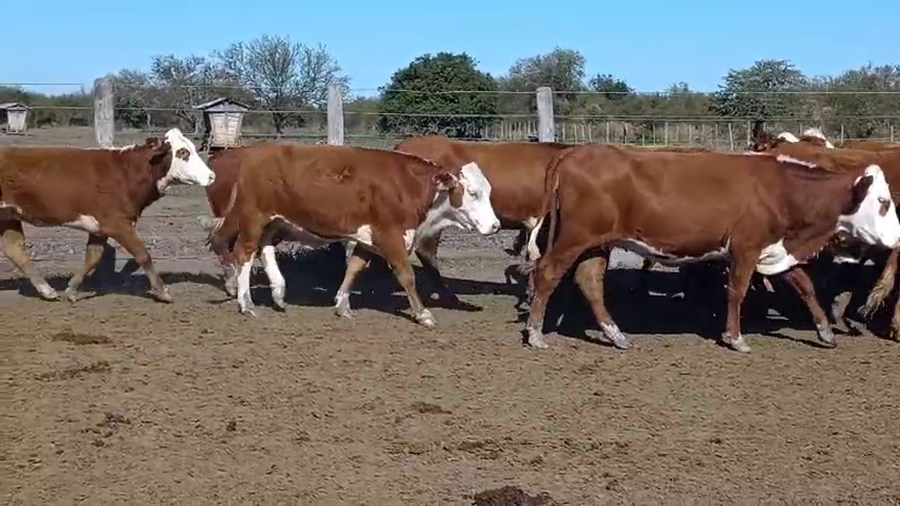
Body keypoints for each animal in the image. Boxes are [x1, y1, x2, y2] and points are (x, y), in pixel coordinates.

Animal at [0, 128, 216, 302]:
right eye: (183, 152)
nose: (212, 176)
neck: (126, 173)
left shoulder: (100, 227)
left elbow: (93, 256)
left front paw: (71, 290)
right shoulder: (117, 223)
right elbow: (142, 254)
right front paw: (163, 292)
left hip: (9, 217)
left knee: (14, 250)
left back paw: (47, 290)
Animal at [203, 143, 500, 326]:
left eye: (488, 190)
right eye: (473, 192)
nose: (495, 225)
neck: (412, 188)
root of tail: (252, 154)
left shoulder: (367, 239)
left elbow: (354, 268)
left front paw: (342, 304)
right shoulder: (390, 236)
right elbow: (407, 275)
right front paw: (423, 314)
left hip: (274, 223)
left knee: (264, 250)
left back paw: (278, 292)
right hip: (253, 218)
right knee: (242, 253)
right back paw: (246, 302)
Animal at [523, 144, 900, 353]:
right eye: (883, 202)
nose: (898, 239)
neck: (780, 190)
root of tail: (576, 151)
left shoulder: (775, 250)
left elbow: (805, 287)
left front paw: (825, 332)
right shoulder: (746, 248)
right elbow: (737, 291)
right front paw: (735, 338)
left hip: (598, 243)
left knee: (588, 282)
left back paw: (616, 335)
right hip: (576, 237)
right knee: (547, 273)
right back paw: (536, 334)